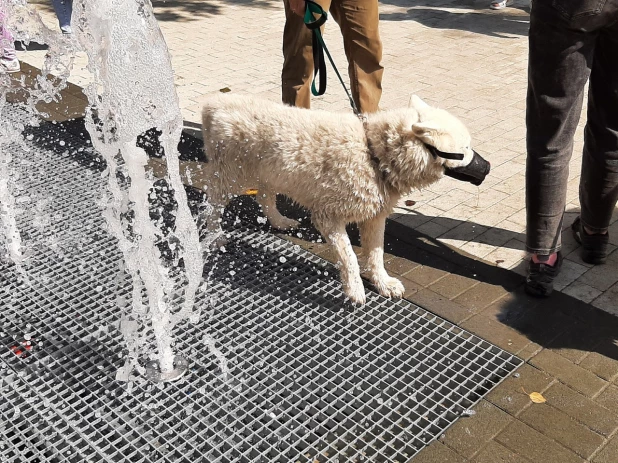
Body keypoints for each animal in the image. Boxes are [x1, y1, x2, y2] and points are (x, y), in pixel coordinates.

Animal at [177, 94, 486, 304]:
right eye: (465, 149)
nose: (488, 168)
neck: (374, 154)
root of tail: (214, 104)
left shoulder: (374, 214)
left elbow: (376, 254)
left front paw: (382, 282)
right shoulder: (328, 216)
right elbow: (349, 257)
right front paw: (355, 290)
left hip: (271, 171)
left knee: (264, 196)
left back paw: (279, 221)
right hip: (232, 174)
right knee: (213, 204)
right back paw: (215, 236)